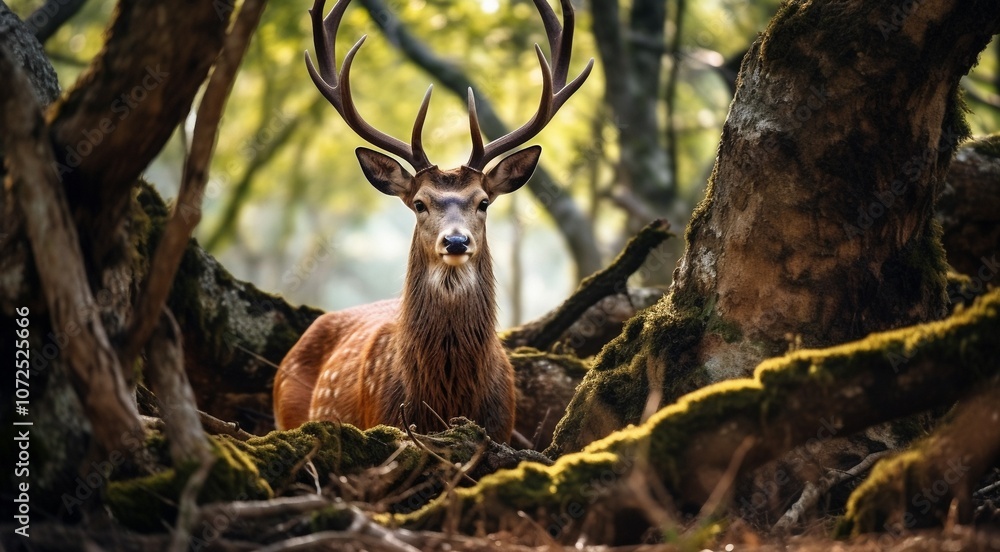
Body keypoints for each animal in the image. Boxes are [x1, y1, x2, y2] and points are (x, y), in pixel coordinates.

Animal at [272, 0, 592, 442]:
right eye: (420, 203)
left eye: (483, 202)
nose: (455, 242)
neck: (446, 398)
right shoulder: (386, 419)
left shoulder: (501, 426)